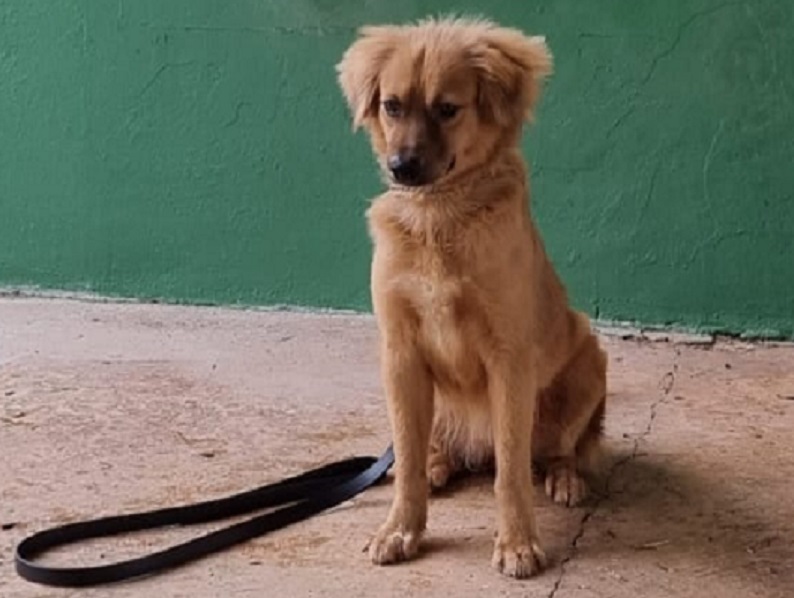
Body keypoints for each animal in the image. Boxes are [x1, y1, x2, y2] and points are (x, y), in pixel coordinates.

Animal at [334, 17, 608, 580]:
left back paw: (565, 477)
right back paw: (440, 463)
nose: (400, 167)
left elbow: (512, 470)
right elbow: (406, 463)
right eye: (392, 105)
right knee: (429, 449)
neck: (437, 217)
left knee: (557, 449)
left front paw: (518, 543)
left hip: (589, 362)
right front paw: (401, 529)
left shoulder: (509, 359)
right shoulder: (400, 352)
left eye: (447, 108)